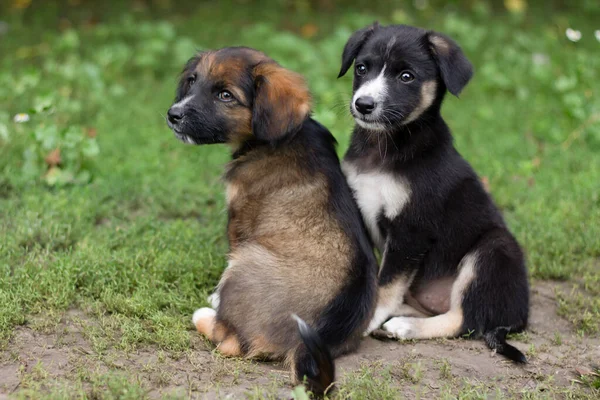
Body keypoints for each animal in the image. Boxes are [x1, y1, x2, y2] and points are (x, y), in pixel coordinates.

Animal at [166, 47, 378, 394]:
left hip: (246, 262)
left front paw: (213, 296)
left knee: (231, 343)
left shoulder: (238, 222)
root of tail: (310, 341)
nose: (173, 114)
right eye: (193, 82)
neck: (272, 139)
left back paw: (206, 315)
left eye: (225, 95)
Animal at [338, 24, 528, 362]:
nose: (363, 104)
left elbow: (387, 282)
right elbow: (374, 274)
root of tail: (519, 316)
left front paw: (368, 316)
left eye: (406, 76)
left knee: (465, 320)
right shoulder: (359, 208)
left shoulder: (411, 230)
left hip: (493, 250)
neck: (385, 146)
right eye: (361, 68)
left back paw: (404, 326)